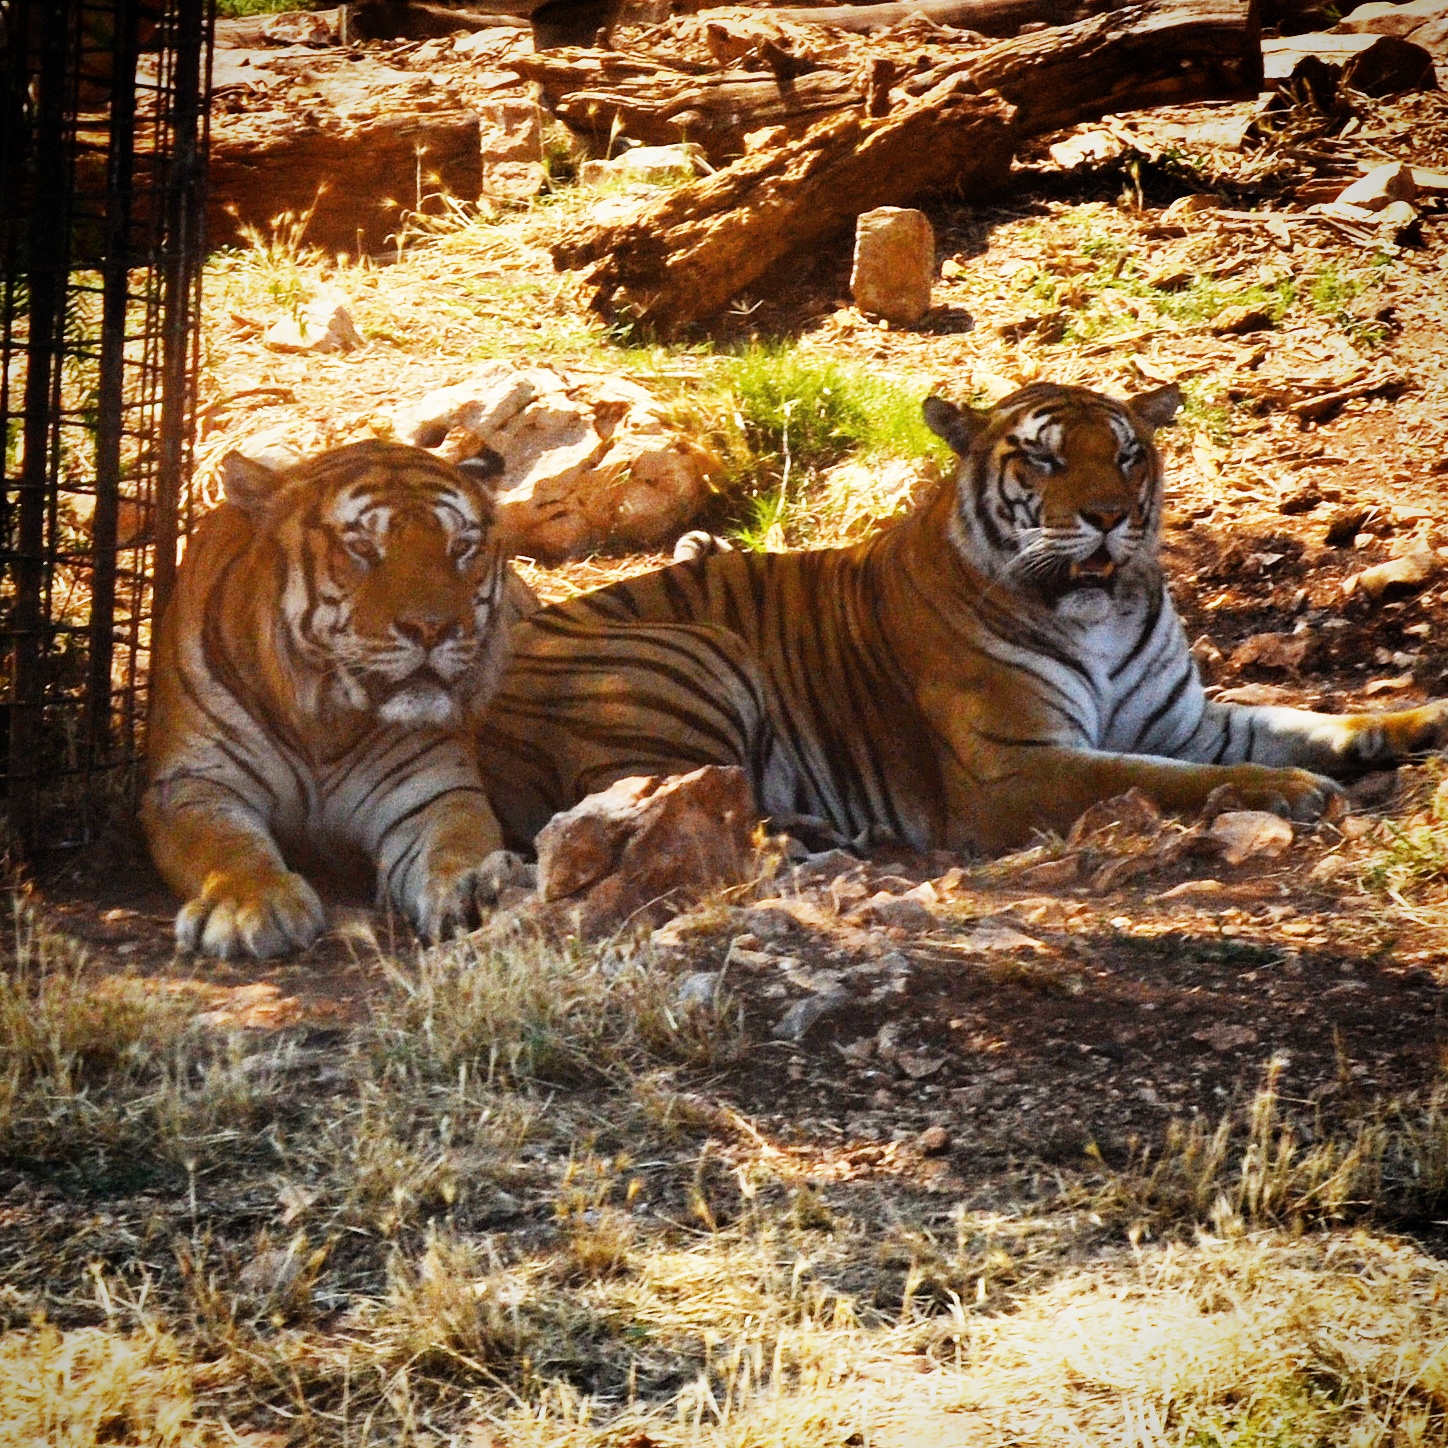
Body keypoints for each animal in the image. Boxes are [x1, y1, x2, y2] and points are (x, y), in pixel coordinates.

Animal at [141, 439, 537, 960]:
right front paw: (250, 906)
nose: (433, 628)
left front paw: (472, 888)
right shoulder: (196, 783)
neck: (325, 722)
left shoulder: (433, 793)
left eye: (461, 549)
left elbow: (457, 842)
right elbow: (225, 847)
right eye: (364, 549)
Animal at [479, 380, 1448, 855]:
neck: (1097, 613)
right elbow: (1162, 779)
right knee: (657, 801)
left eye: (1127, 455)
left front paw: (1419, 720)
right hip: (694, 654)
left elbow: (1305, 720)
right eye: (1042, 459)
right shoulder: (1011, 767)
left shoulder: (1187, 723)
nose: (1106, 516)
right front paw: (1286, 792)